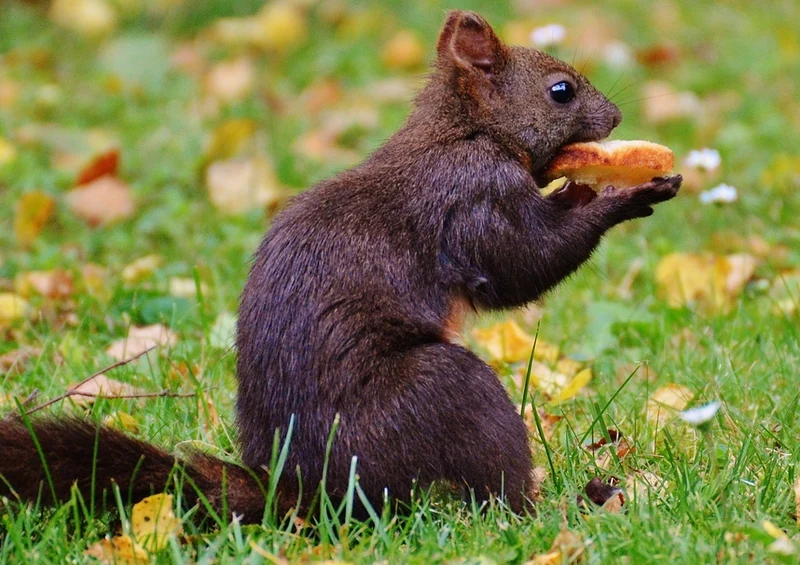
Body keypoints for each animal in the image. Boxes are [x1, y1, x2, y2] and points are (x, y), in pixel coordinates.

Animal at [0, 11, 680, 522]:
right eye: (560, 90)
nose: (617, 120)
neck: (462, 133)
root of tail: (313, 492)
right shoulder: (472, 199)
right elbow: (523, 265)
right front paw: (617, 196)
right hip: (445, 396)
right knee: (495, 491)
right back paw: (563, 509)